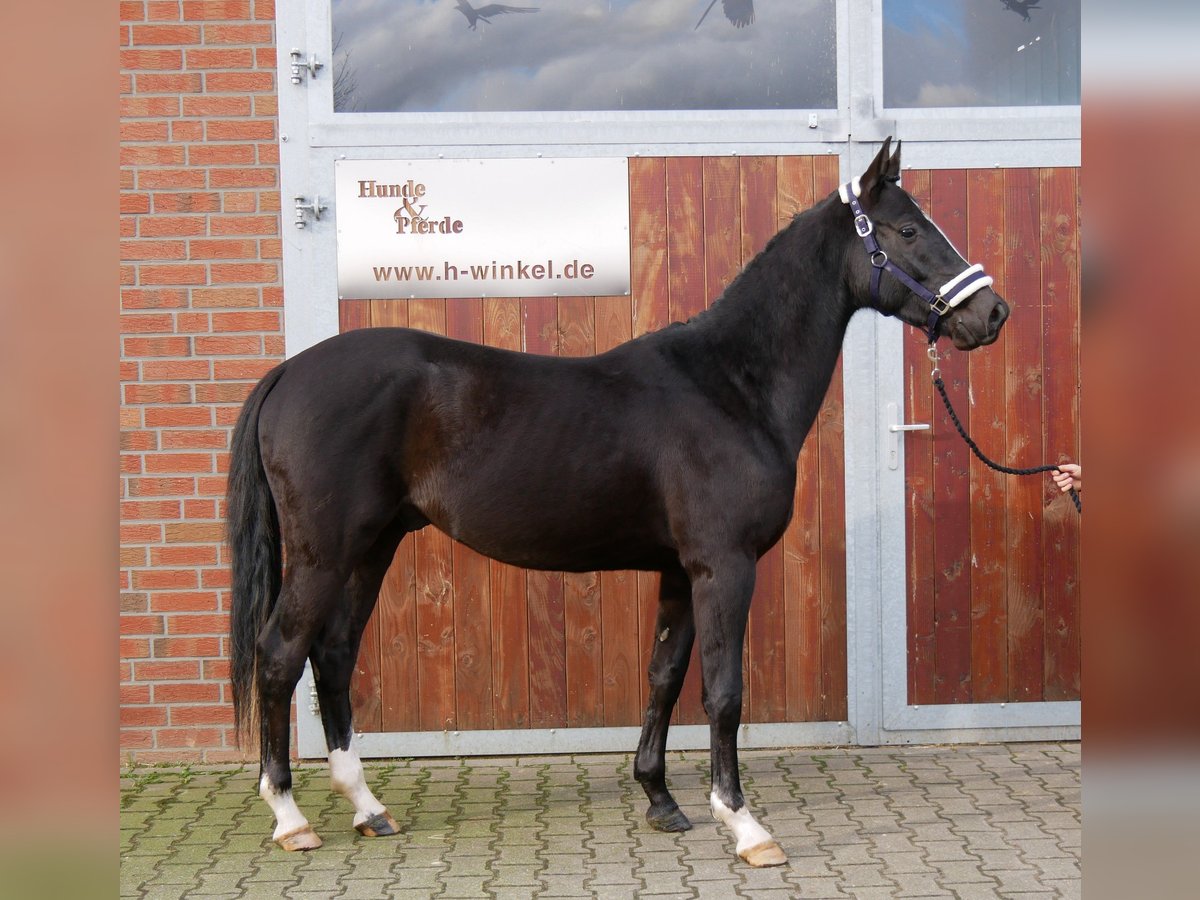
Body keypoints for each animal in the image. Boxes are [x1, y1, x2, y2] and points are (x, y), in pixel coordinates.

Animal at [225, 141, 1003, 868]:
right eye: (908, 229)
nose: (991, 312)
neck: (730, 385)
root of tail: (290, 370)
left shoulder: (680, 571)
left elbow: (664, 675)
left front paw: (661, 799)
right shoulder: (725, 566)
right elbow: (724, 691)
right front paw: (744, 825)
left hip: (373, 546)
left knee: (333, 654)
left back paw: (368, 808)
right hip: (325, 553)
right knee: (280, 655)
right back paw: (291, 819)